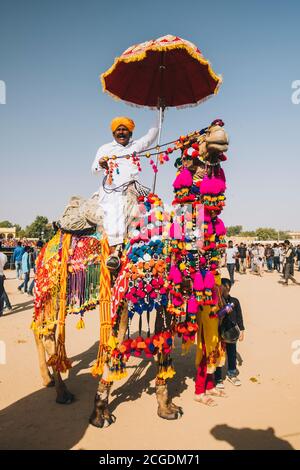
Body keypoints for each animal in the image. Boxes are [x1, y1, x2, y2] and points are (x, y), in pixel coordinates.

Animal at [32, 120, 230, 426]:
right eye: (194, 140)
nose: (219, 131)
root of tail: (49, 238)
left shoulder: (163, 296)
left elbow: (163, 344)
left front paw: (166, 407)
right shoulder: (123, 292)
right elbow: (115, 342)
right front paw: (100, 412)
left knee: (46, 332)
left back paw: (51, 382)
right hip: (50, 285)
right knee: (47, 332)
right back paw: (61, 391)